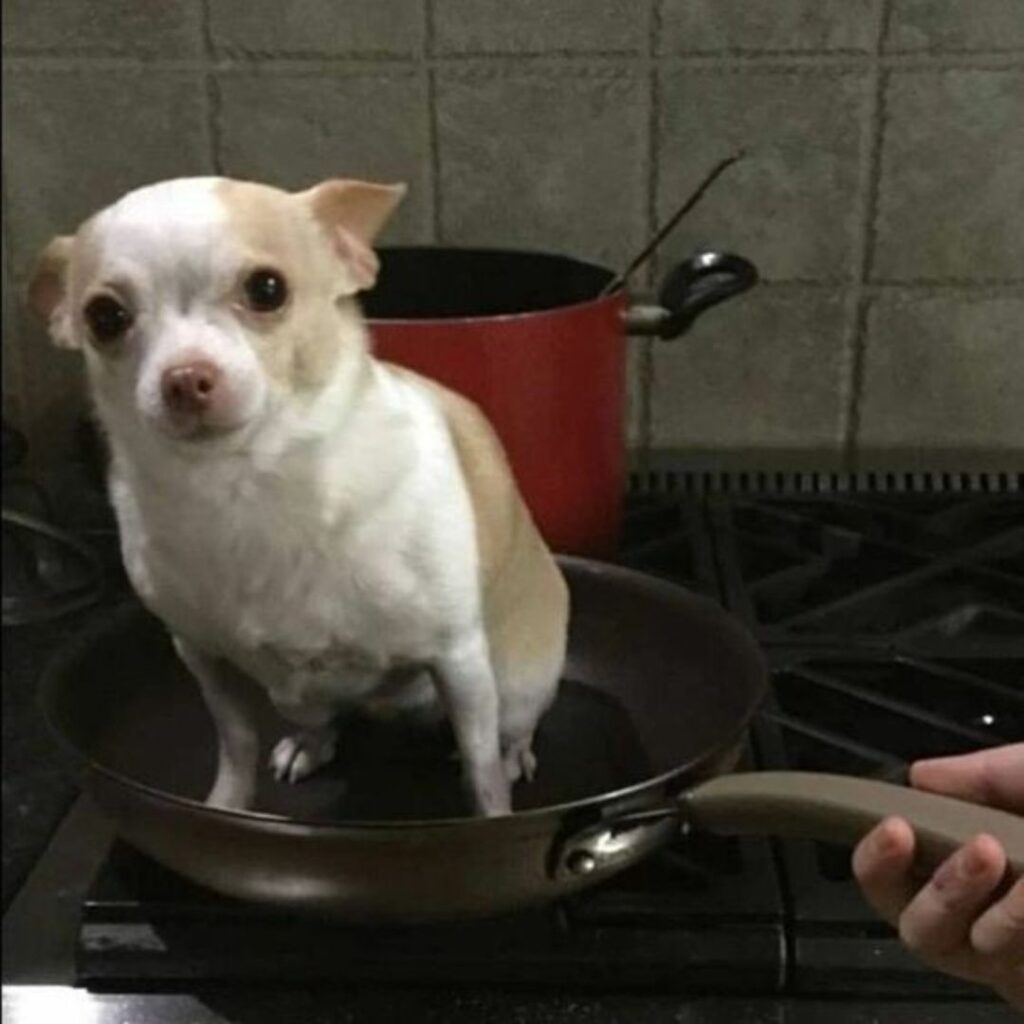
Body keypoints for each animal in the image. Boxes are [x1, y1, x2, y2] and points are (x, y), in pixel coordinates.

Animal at [25, 176, 569, 815]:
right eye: (104, 317)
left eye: (267, 290)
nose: (184, 378)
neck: (249, 485)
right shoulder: (202, 657)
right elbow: (235, 741)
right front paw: (225, 806)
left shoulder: (457, 659)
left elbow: (480, 773)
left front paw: (491, 817)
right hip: (298, 695)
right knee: (319, 715)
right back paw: (309, 743)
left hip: (513, 682)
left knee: (508, 731)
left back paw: (512, 755)